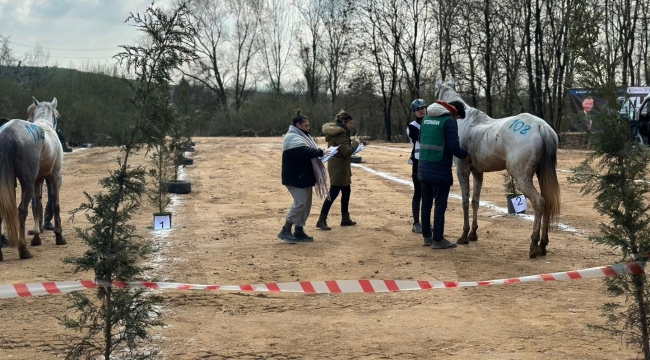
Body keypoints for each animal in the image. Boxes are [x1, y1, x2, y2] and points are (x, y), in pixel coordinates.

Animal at [432, 79, 560, 258]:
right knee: (547, 202)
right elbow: (475, 201)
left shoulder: (462, 171)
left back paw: (534, 245)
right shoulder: (478, 173)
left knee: (539, 202)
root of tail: (541, 127)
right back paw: (543, 245)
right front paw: (473, 234)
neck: (466, 122)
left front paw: (464, 235)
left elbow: (465, 201)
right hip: (541, 175)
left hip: (522, 177)